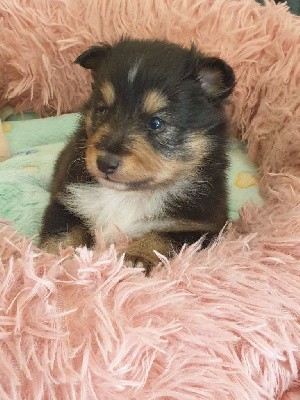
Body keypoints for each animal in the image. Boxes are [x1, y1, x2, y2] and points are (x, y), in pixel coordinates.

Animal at [39, 38, 236, 276]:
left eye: (156, 123)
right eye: (103, 110)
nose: (105, 163)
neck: (130, 194)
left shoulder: (200, 227)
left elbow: (162, 237)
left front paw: (135, 258)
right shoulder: (65, 200)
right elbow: (63, 233)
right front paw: (56, 260)